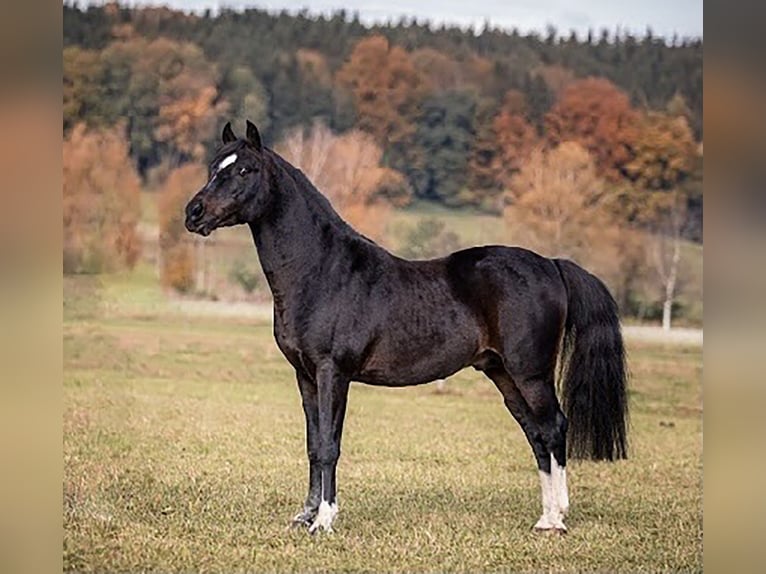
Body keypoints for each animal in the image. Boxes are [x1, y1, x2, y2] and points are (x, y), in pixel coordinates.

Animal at [186, 120, 632, 536]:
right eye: (214, 167)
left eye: (245, 170)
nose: (193, 213)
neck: (322, 270)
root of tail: (551, 265)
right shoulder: (306, 375)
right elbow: (314, 445)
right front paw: (305, 515)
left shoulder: (334, 372)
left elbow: (330, 445)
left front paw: (324, 521)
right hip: (503, 374)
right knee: (536, 434)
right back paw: (544, 518)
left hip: (531, 373)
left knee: (554, 428)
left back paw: (557, 519)